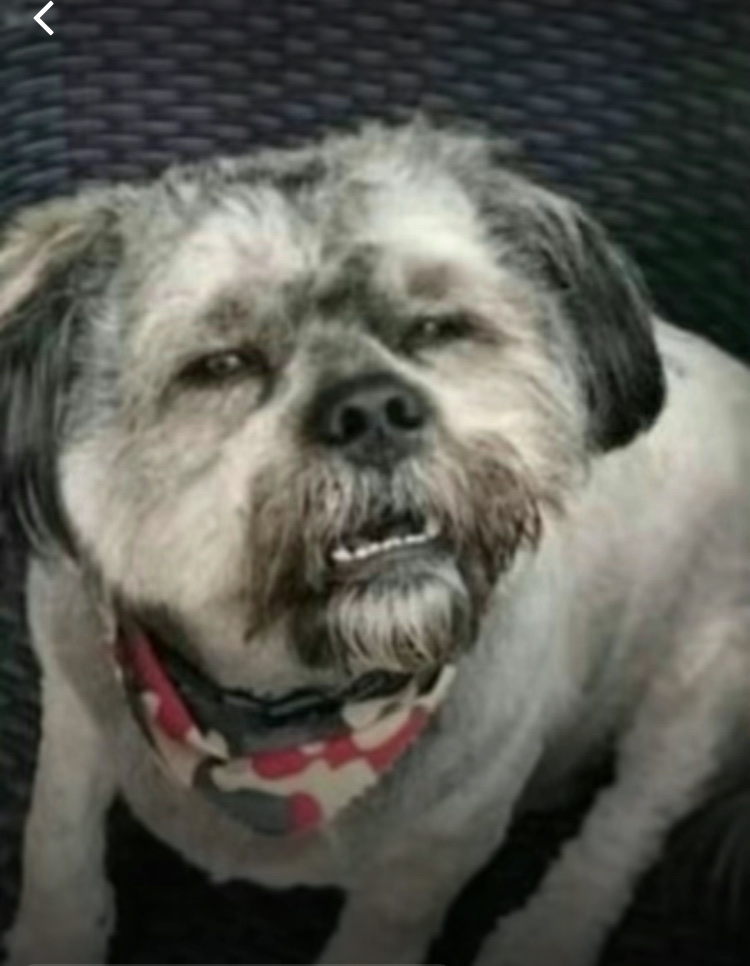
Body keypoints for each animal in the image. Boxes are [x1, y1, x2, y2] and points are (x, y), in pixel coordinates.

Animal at [1, 120, 749, 966]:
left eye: (436, 328)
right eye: (222, 364)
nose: (373, 411)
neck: (286, 723)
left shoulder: (435, 851)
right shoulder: (73, 708)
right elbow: (58, 843)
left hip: (708, 679)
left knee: (631, 817)